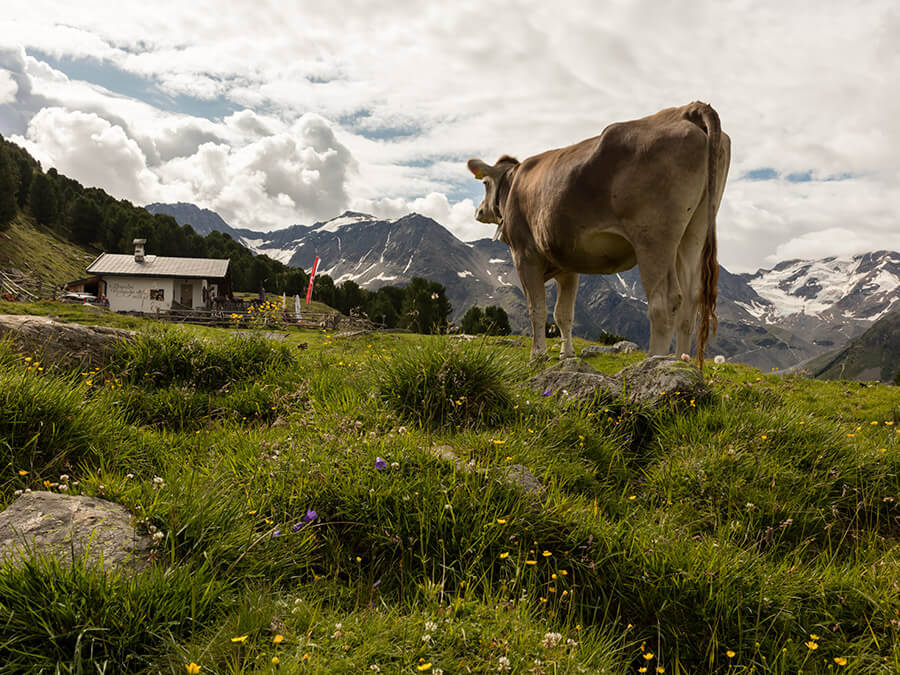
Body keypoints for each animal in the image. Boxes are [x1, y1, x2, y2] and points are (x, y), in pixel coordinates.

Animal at [467, 101, 730, 368]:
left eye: (485, 183)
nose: (478, 211)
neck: (513, 184)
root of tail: (687, 109)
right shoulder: (567, 265)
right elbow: (563, 314)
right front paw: (566, 355)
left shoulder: (524, 254)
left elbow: (537, 309)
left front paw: (537, 356)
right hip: (694, 230)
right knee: (690, 299)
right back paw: (680, 363)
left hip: (654, 236)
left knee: (665, 301)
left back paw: (653, 362)